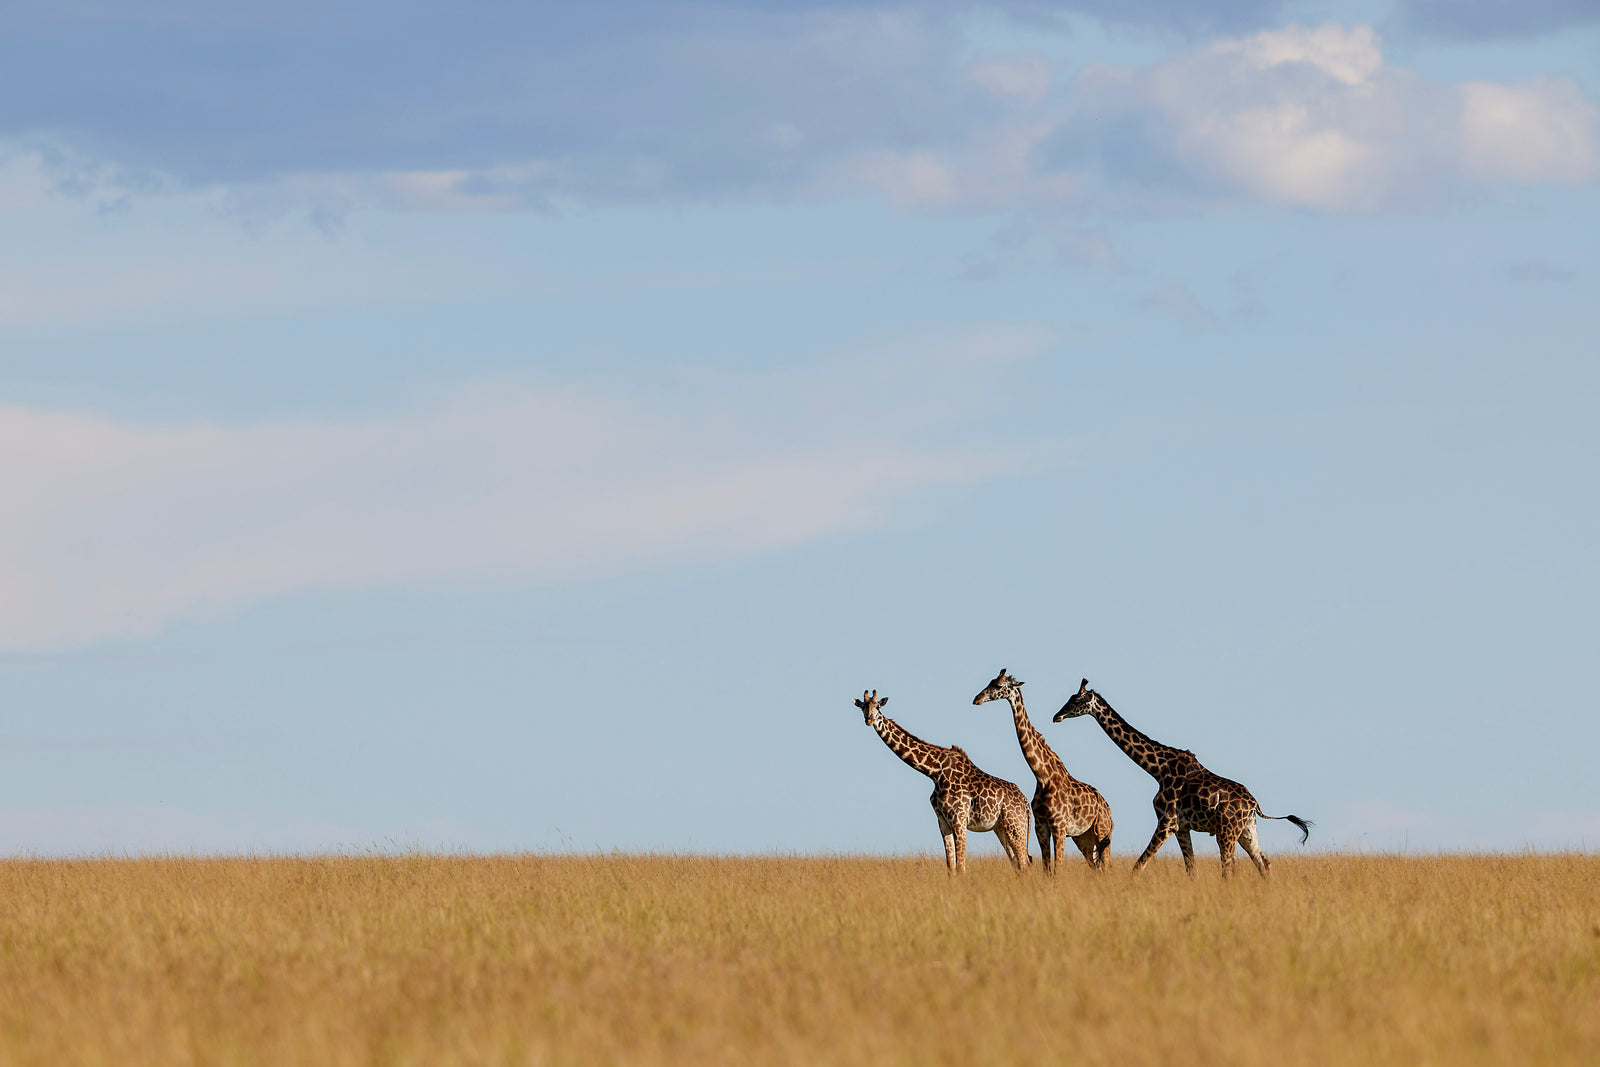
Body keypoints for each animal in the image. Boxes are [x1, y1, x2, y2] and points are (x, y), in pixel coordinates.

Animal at [852, 689, 1032, 874]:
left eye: (878, 707)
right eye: (863, 707)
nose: (869, 720)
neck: (935, 772)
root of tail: (1026, 803)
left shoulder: (959, 819)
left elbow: (961, 867)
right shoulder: (943, 822)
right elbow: (951, 868)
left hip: (1015, 825)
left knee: (1025, 863)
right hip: (1001, 828)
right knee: (1017, 863)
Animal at [973, 668, 1114, 872]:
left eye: (998, 686)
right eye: (990, 681)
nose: (977, 698)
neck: (1042, 776)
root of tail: (1108, 809)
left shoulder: (1059, 827)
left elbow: (1057, 869)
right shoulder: (1041, 827)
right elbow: (1047, 870)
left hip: (1101, 831)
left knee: (1106, 866)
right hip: (1083, 837)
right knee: (1097, 867)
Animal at [1053, 679, 1311, 878]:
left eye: (1077, 700)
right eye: (1069, 698)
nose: (1057, 716)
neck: (1157, 769)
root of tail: (1254, 804)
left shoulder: (1166, 822)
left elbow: (1138, 866)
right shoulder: (1182, 828)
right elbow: (1191, 870)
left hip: (1227, 831)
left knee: (1229, 869)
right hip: (1246, 830)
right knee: (1263, 863)